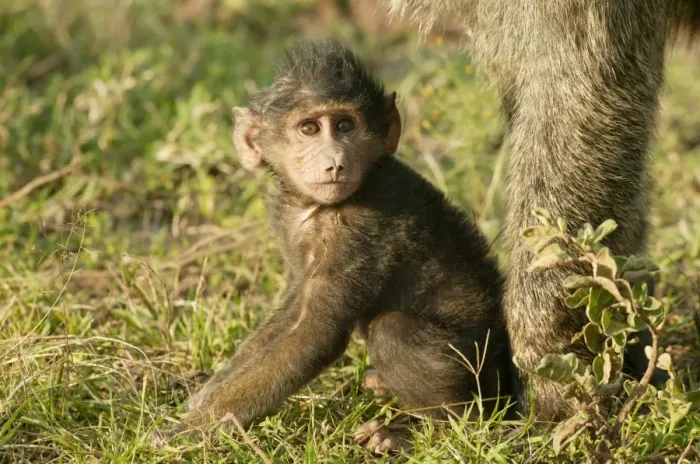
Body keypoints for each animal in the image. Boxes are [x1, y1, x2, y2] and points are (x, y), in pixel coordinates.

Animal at [154, 38, 515, 451]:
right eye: (309, 128)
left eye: (344, 125)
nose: (335, 163)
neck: (319, 208)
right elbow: (295, 308)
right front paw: (202, 397)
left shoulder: (358, 231)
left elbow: (314, 334)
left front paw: (191, 430)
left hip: (484, 375)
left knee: (393, 332)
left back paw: (428, 433)